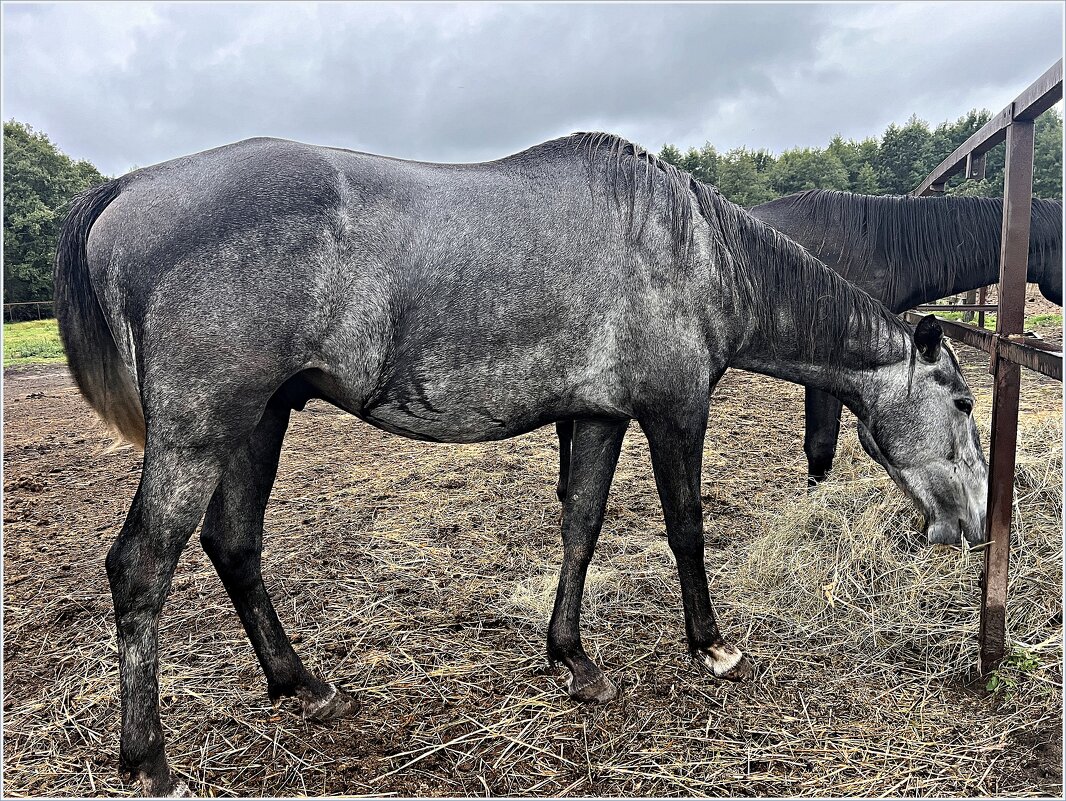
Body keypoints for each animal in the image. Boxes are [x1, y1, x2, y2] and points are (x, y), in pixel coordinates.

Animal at [54, 134, 984, 797]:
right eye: (967, 404)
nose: (973, 524)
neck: (691, 247)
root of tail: (129, 188)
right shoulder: (676, 410)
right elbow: (685, 528)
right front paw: (711, 646)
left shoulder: (598, 414)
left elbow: (582, 526)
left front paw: (573, 659)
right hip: (203, 431)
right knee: (142, 566)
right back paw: (149, 760)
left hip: (259, 421)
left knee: (235, 544)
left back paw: (302, 684)